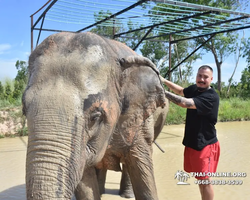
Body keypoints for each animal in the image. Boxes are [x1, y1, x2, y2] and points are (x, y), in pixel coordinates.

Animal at [23, 31, 166, 200]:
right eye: (24, 109)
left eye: (95, 117)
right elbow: (85, 181)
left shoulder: (139, 121)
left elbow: (142, 167)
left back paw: (126, 195)